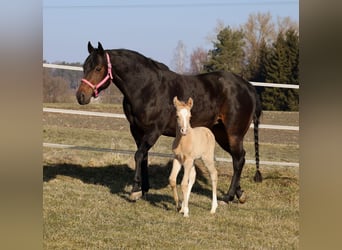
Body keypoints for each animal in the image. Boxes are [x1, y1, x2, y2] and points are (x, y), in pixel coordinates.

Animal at [75, 42, 262, 203]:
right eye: (84, 67)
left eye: (98, 68)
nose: (81, 96)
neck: (146, 88)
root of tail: (248, 87)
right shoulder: (136, 130)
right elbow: (143, 157)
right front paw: (144, 189)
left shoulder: (154, 130)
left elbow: (138, 155)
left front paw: (135, 191)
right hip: (222, 133)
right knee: (238, 158)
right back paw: (239, 193)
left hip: (233, 133)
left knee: (239, 159)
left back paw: (228, 197)